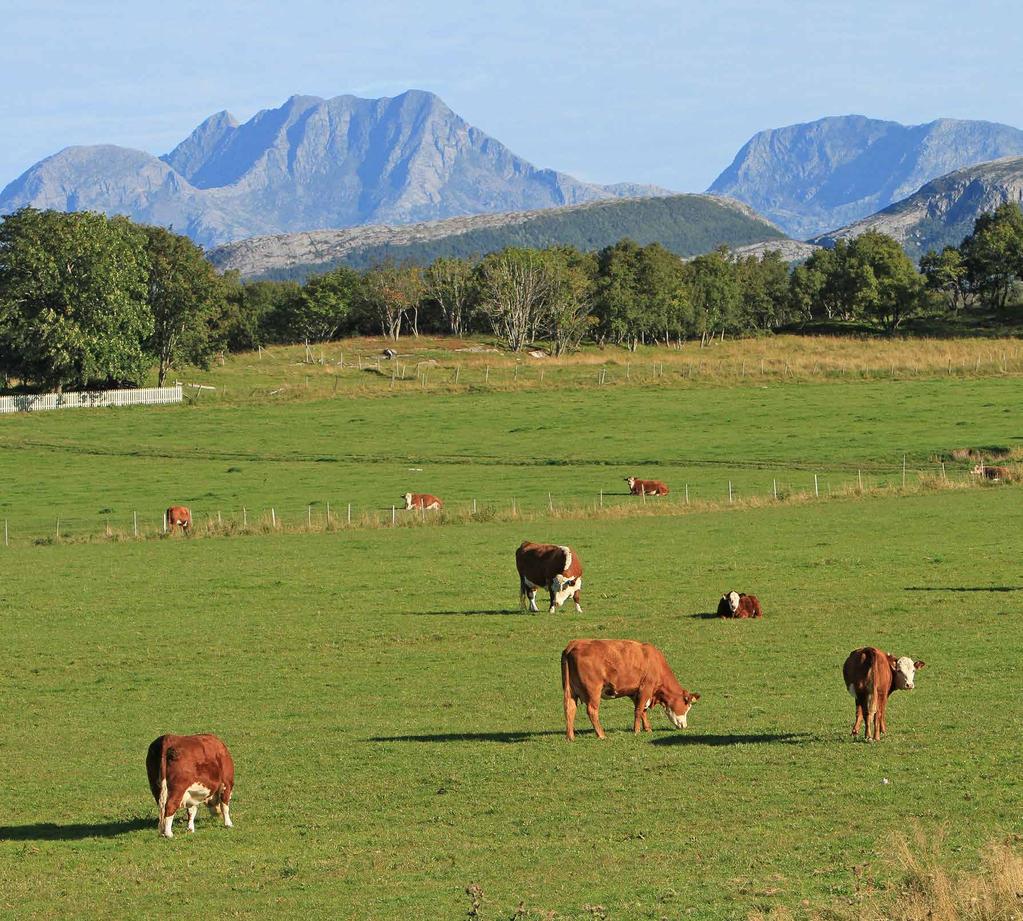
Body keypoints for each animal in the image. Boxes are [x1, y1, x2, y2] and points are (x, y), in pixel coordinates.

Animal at [564, 638, 699, 740]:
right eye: (687, 707)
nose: (684, 725)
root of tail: (575, 643)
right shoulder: (646, 688)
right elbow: (639, 710)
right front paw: (637, 730)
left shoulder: (636, 692)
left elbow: (642, 710)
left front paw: (647, 728)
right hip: (594, 691)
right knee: (592, 710)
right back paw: (601, 735)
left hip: (570, 691)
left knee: (570, 709)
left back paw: (570, 737)